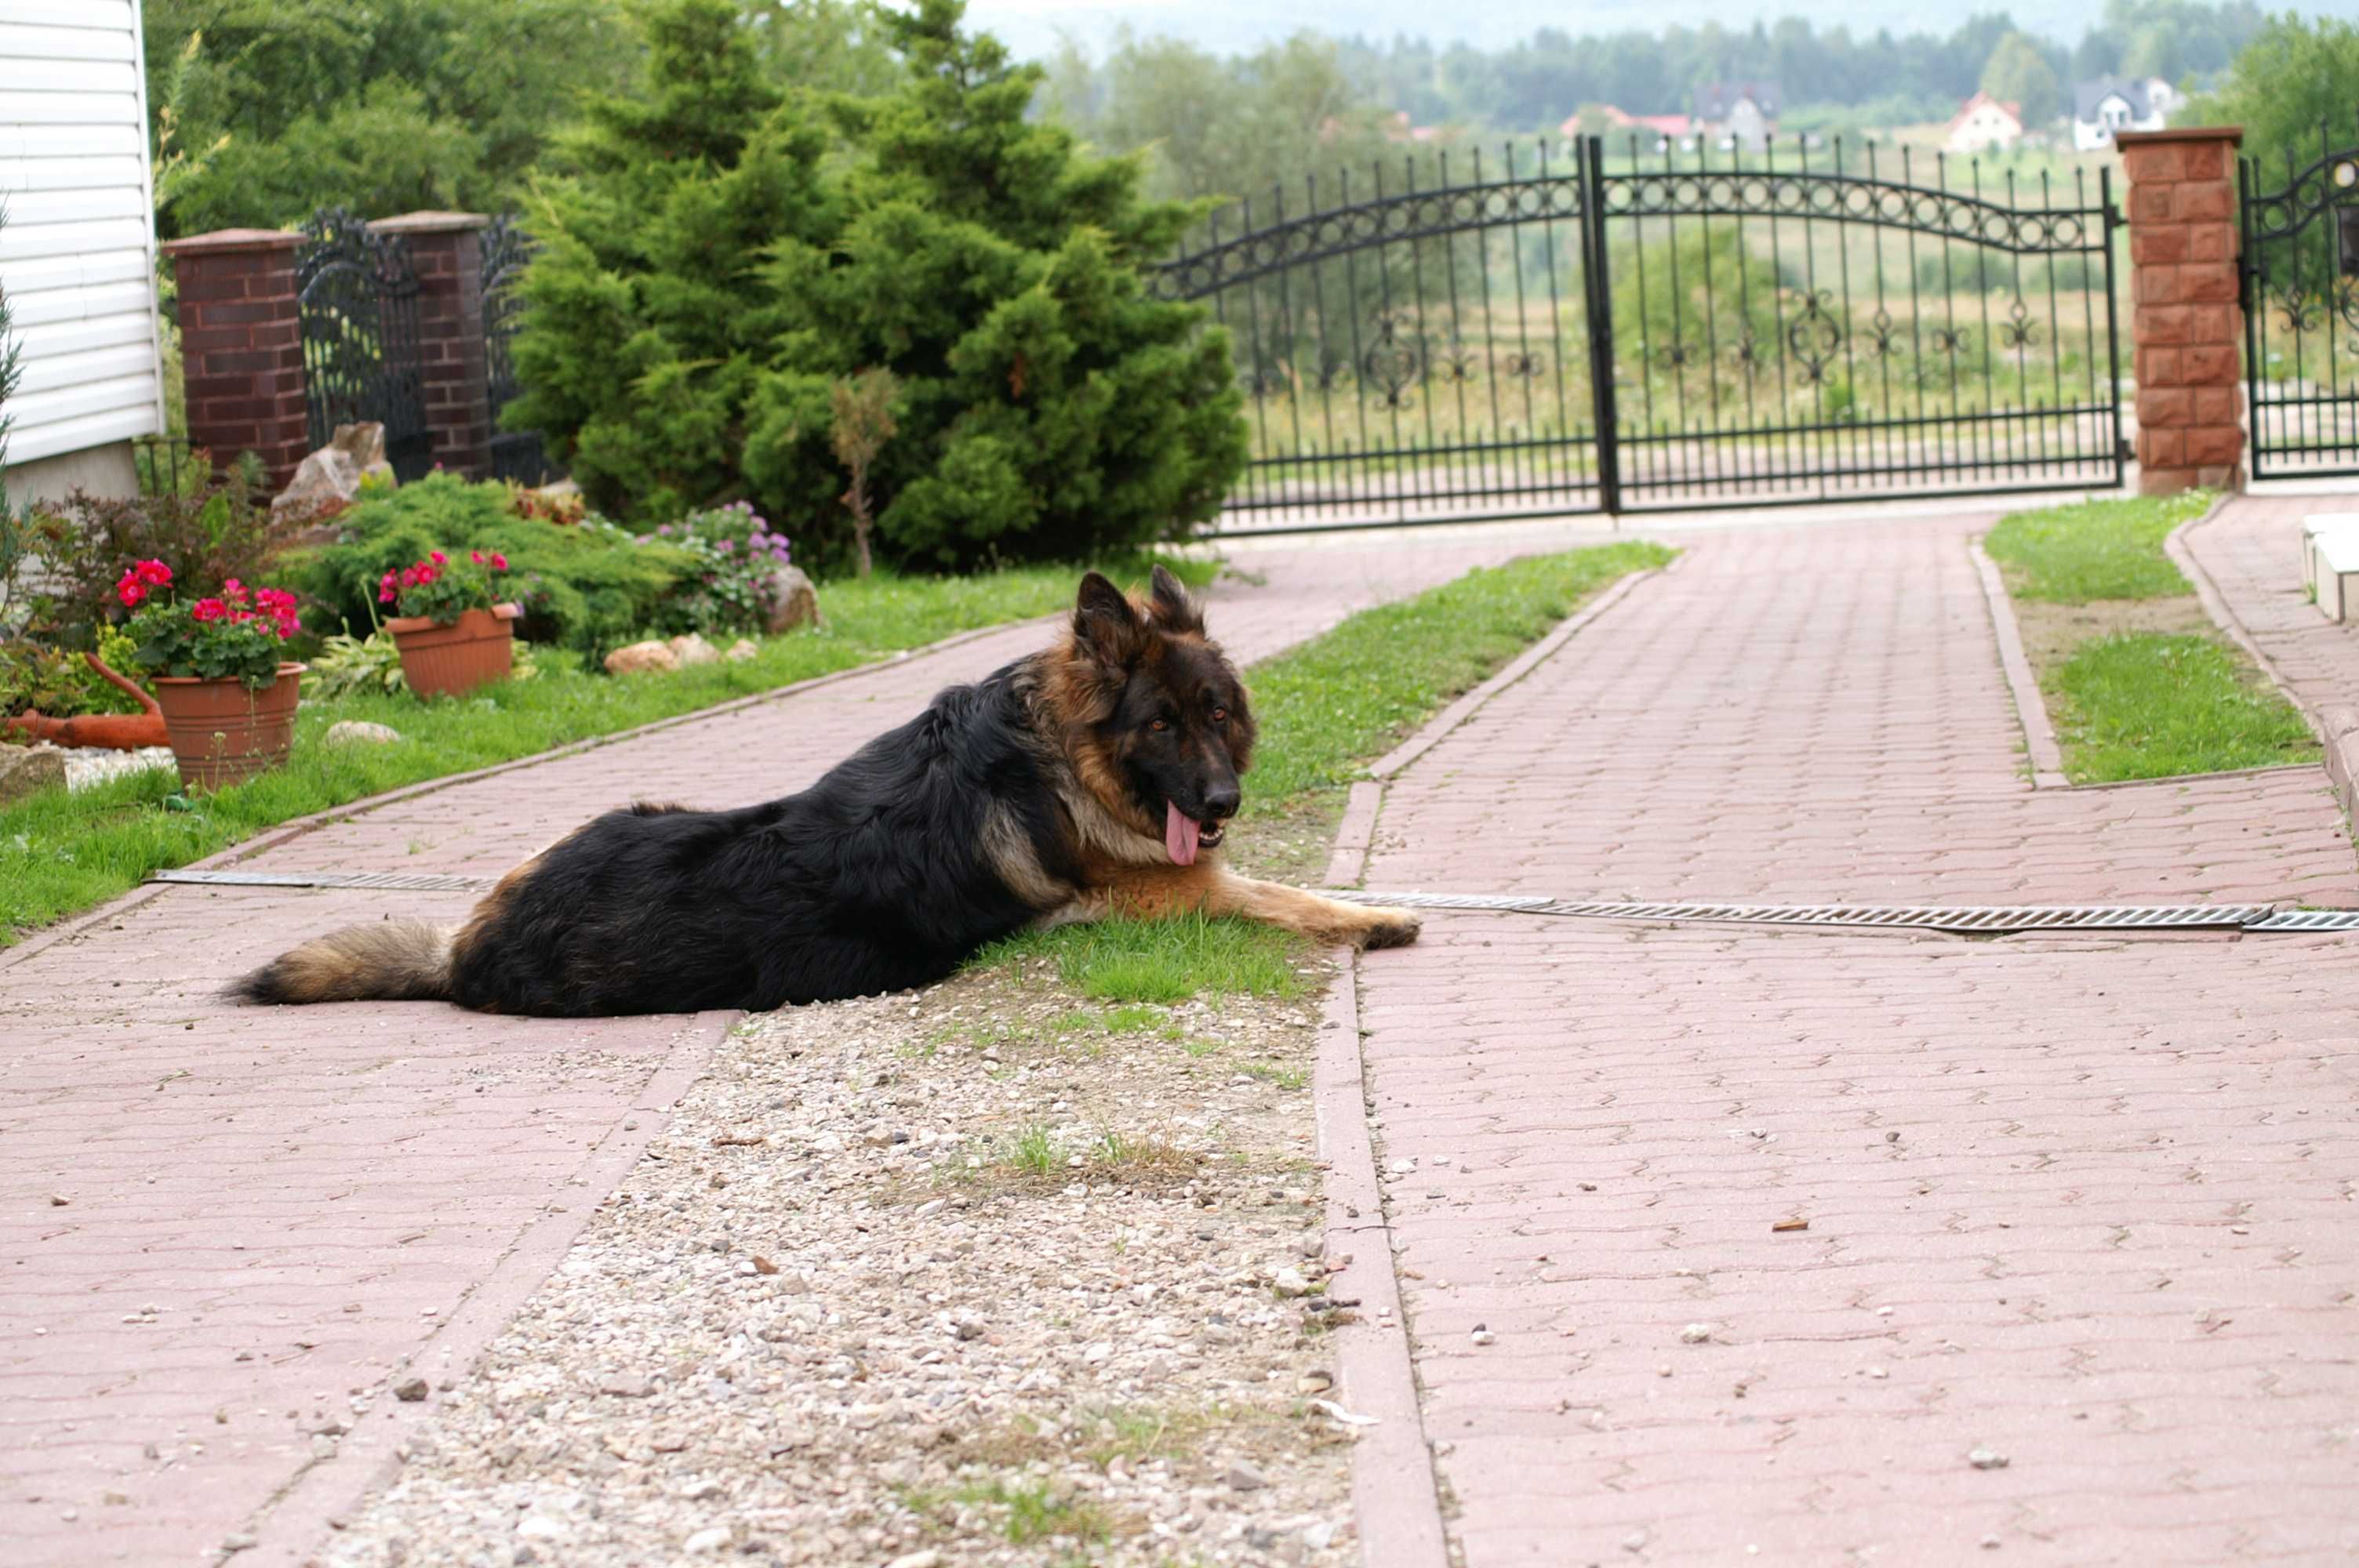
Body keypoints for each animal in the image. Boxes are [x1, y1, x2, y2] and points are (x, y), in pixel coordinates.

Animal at [234, 563, 1415, 1014]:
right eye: (1161, 726)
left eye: (1218, 714)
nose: (1220, 804)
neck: (1055, 755)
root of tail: (463, 950)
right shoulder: (1176, 894)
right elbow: (1287, 896)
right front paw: (1379, 914)